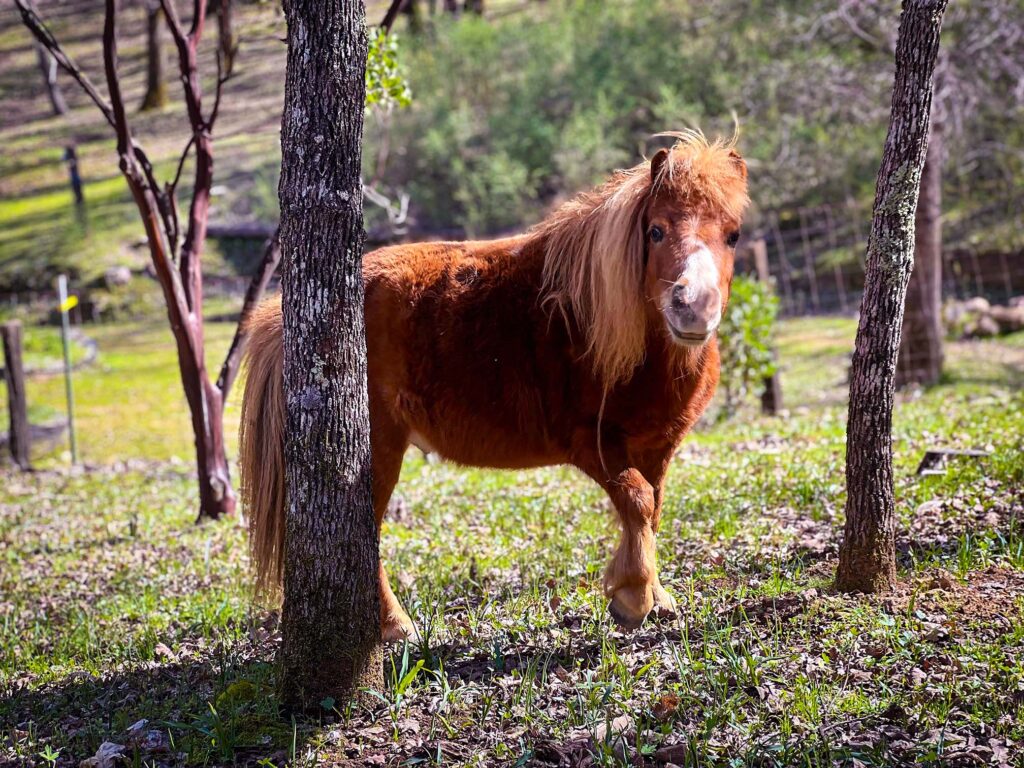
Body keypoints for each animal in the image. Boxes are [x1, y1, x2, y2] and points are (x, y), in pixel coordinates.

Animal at [240, 132, 750, 640]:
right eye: (656, 231)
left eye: (733, 235)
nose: (694, 307)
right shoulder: (594, 444)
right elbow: (638, 501)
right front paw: (631, 597)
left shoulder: (658, 446)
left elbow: (652, 508)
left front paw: (656, 596)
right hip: (378, 450)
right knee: (370, 535)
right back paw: (397, 626)